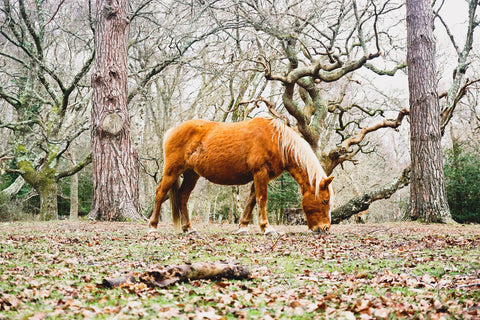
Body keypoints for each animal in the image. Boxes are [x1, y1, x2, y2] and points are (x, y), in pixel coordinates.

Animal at [147, 117, 334, 235]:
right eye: (325, 201)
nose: (325, 228)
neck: (276, 140)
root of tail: (172, 131)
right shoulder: (260, 173)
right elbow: (261, 199)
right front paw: (267, 228)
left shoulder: (260, 176)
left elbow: (251, 200)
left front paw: (243, 227)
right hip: (172, 171)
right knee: (160, 194)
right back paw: (153, 227)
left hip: (191, 174)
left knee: (183, 197)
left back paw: (189, 228)